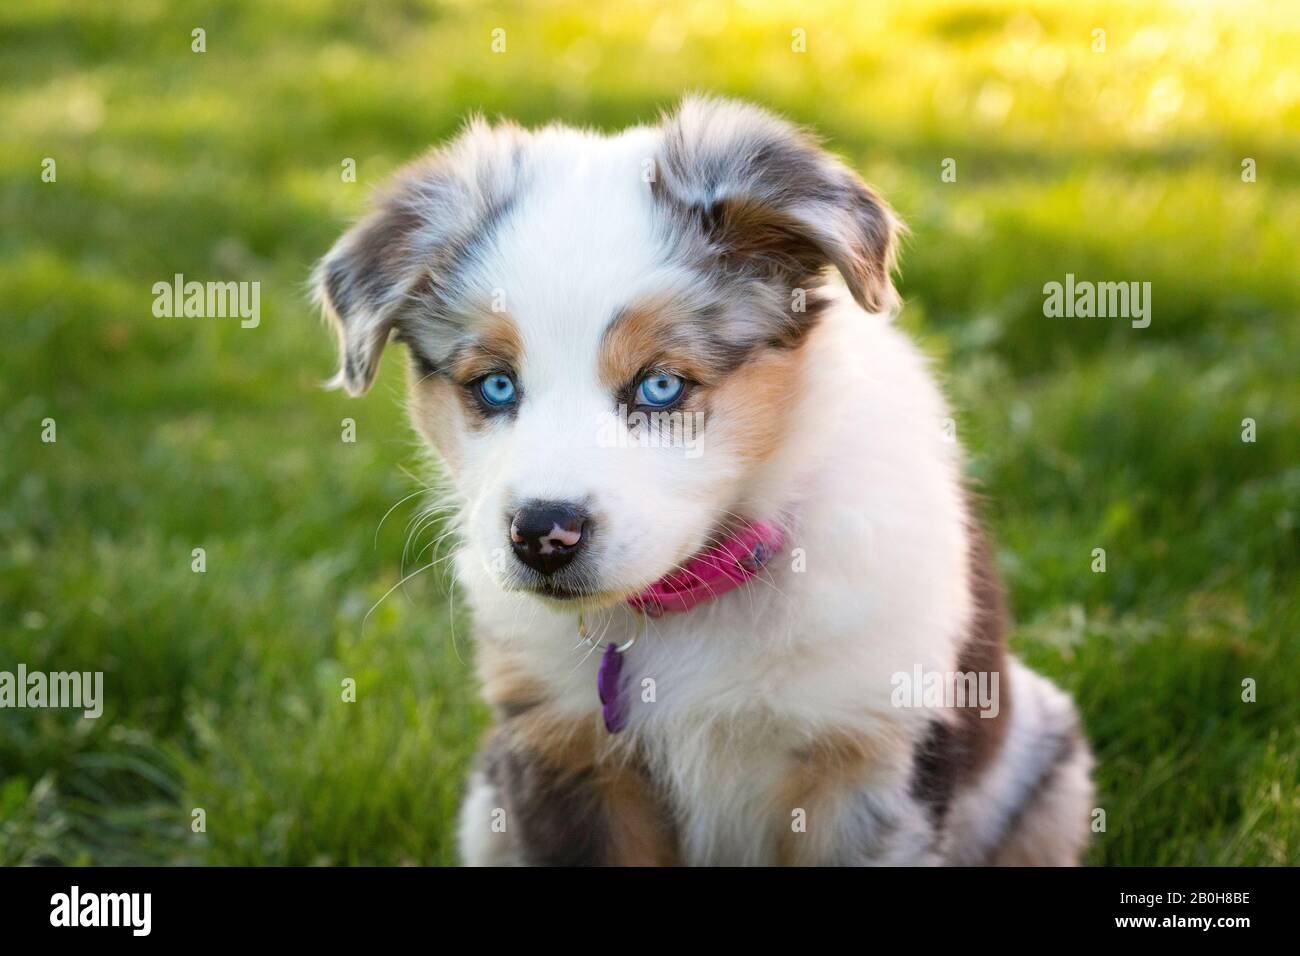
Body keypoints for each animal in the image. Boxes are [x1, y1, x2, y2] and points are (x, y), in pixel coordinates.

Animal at [314, 97, 1097, 868]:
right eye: (496, 385)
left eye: (661, 385)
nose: (542, 536)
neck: (692, 601)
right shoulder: (563, 752)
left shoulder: (869, 758)